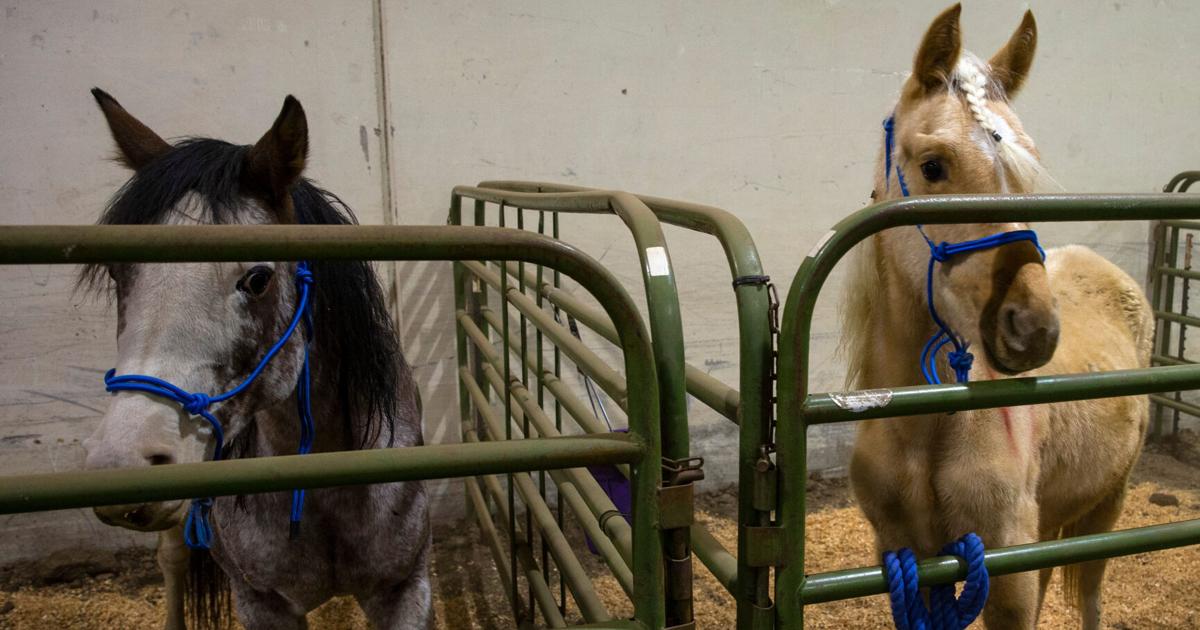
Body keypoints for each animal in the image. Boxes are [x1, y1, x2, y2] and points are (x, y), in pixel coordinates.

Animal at [79, 89, 432, 629]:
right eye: (119, 273)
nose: (123, 464)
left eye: (258, 278)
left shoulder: (406, 589)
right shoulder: (262, 603)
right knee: (172, 560)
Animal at [842, 5, 1151, 629]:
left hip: (1109, 506)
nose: (1034, 329)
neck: (926, 426)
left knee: (1090, 594)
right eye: (933, 165)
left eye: (1027, 175)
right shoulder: (905, 556)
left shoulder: (1007, 569)